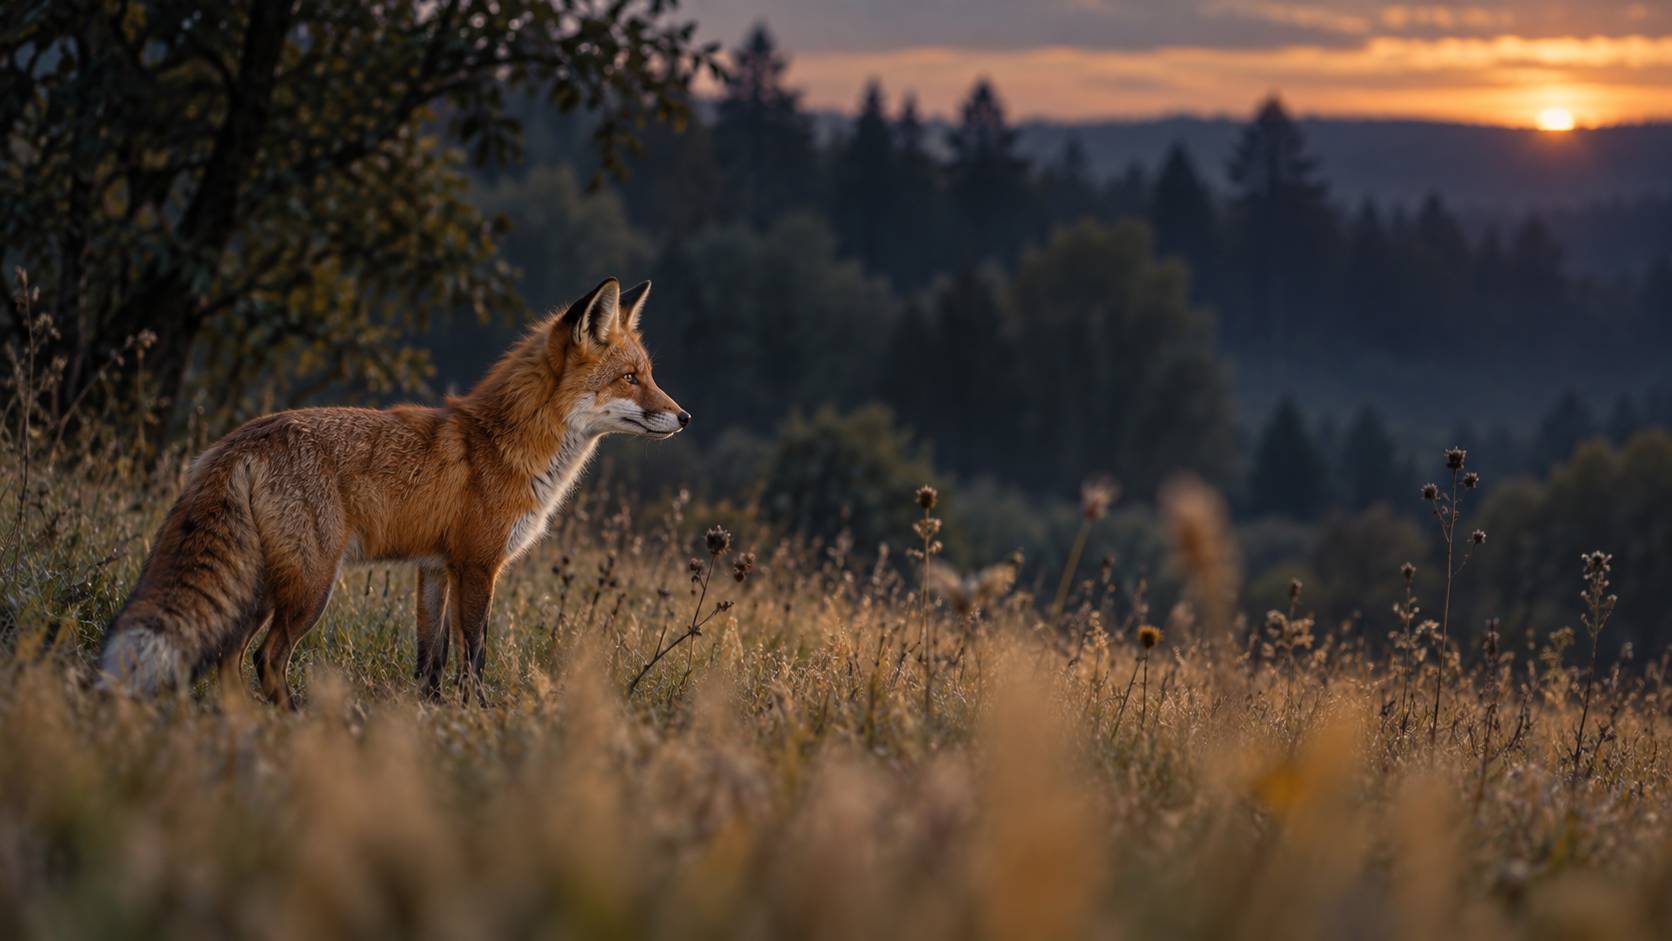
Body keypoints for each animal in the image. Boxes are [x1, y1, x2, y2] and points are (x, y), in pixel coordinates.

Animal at [99, 277, 688, 706]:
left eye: (649, 374)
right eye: (631, 378)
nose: (685, 417)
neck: (505, 445)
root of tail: (238, 440)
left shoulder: (434, 568)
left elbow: (431, 658)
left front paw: (429, 716)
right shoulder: (478, 564)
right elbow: (474, 654)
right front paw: (476, 716)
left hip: (265, 583)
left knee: (230, 660)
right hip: (311, 584)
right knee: (267, 658)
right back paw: (295, 723)